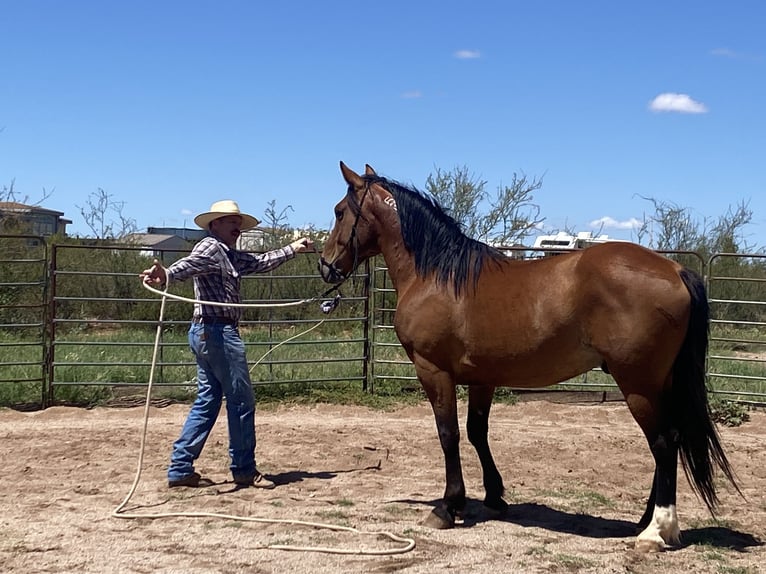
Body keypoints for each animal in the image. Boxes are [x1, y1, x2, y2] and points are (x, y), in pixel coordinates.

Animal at [318, 162, 736, 552]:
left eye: (339, 211)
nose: (325, 266)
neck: (437, 275)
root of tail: (676, 269)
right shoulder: (482, 377)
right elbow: (477, 432)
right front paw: (493, 497)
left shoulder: (433, 370)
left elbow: (448, 434)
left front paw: (448, 507)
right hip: (660, 383)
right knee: (671, 441)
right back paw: (644, 520)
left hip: (638, 384)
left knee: (663, 443)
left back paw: (656, 530)